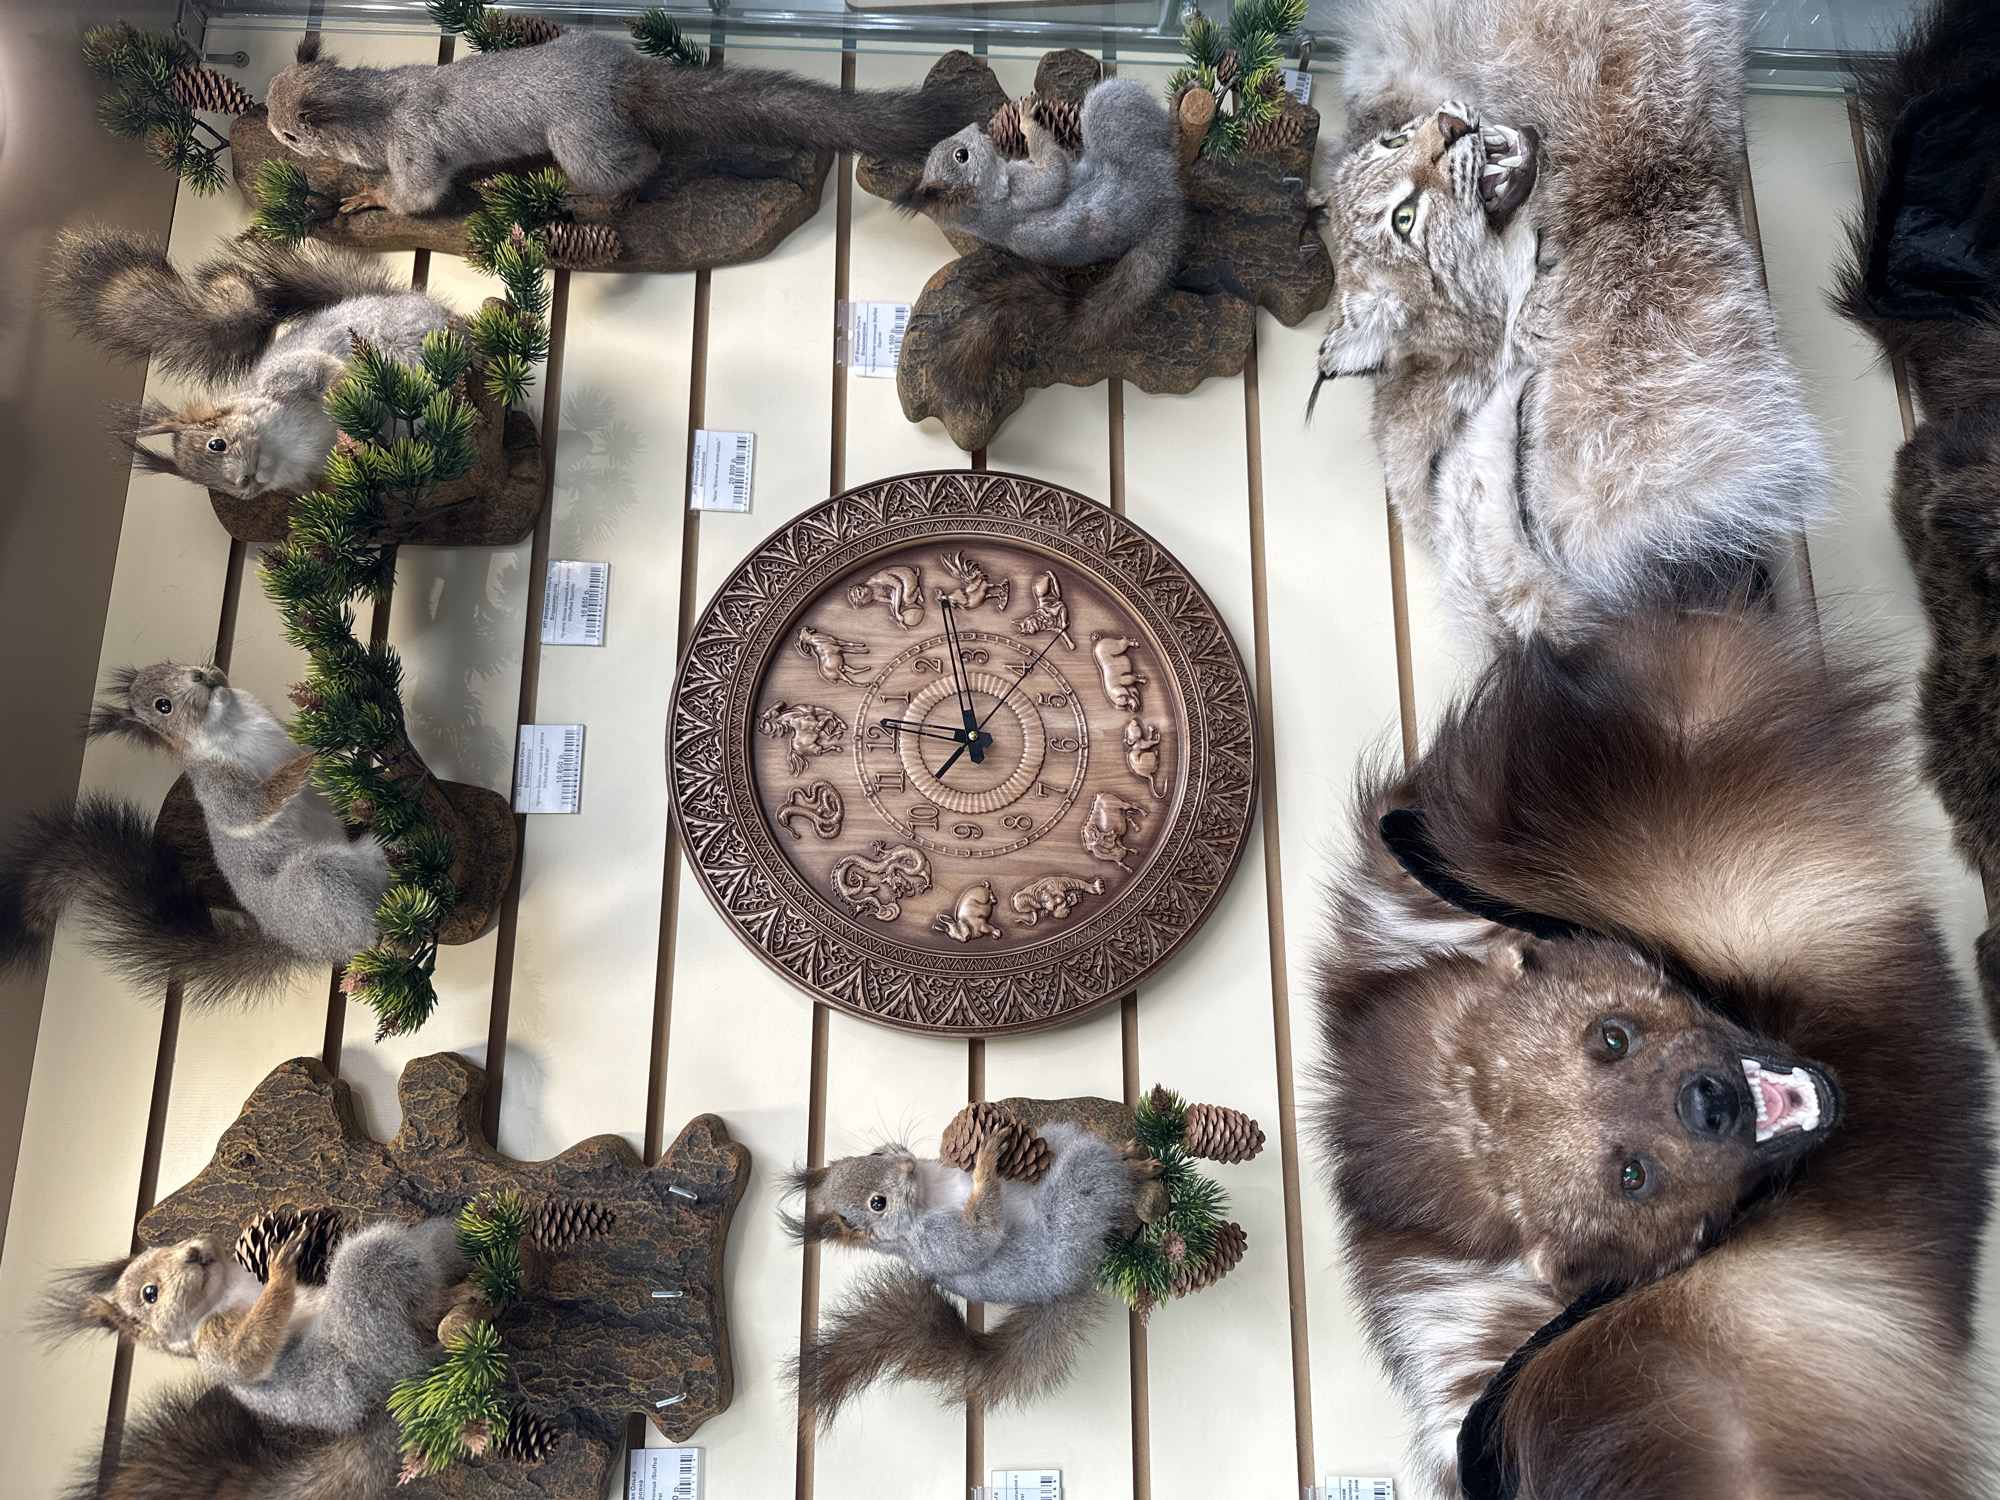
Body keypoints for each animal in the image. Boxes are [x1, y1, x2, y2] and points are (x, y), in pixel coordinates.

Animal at [0, 663, 391, 1005]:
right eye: (163, 706)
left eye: (173, 663)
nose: (201, 674)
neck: (234, 721)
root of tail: (293, 942)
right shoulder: (218, 788)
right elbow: (252, 807)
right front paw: (307, 761)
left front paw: (337, 743)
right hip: (317, 882)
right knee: (361, 934)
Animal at [48, 225, 449, 497]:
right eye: (214, 485)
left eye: (217, 445)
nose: (243, 482)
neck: (288, 446)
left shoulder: (294, 375)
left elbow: (333, 376)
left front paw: (350, 421)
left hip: (408, 338)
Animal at [263, 31, 983, 218]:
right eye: (266, 99)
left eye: (289, 131)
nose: (265, 122)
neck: (381, 101)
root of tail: (622, 76)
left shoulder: (416, 152)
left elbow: (415, 195)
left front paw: (365, 195)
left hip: (578, 142)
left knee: (644, 164)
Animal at [786, 1123, 1156, 1417]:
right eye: (878, 1204)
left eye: (875, 1154)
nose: (907, 1164)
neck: (927, 1188)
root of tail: (1071, 1280)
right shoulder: (937, 1241)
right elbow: (980, 1235)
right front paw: (986, 1160)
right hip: (1077, 1199)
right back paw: (1137, 1171)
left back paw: (1128, 1152)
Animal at [898, 78, 1186, 403]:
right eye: (962, 156)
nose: (976, 126)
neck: (983, 205)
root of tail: (1163, 211)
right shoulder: (1021, 192)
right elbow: (1056, 176)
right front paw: (1025, 121)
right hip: (1121, 128)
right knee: (1155, 143)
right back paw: (1176, 122)